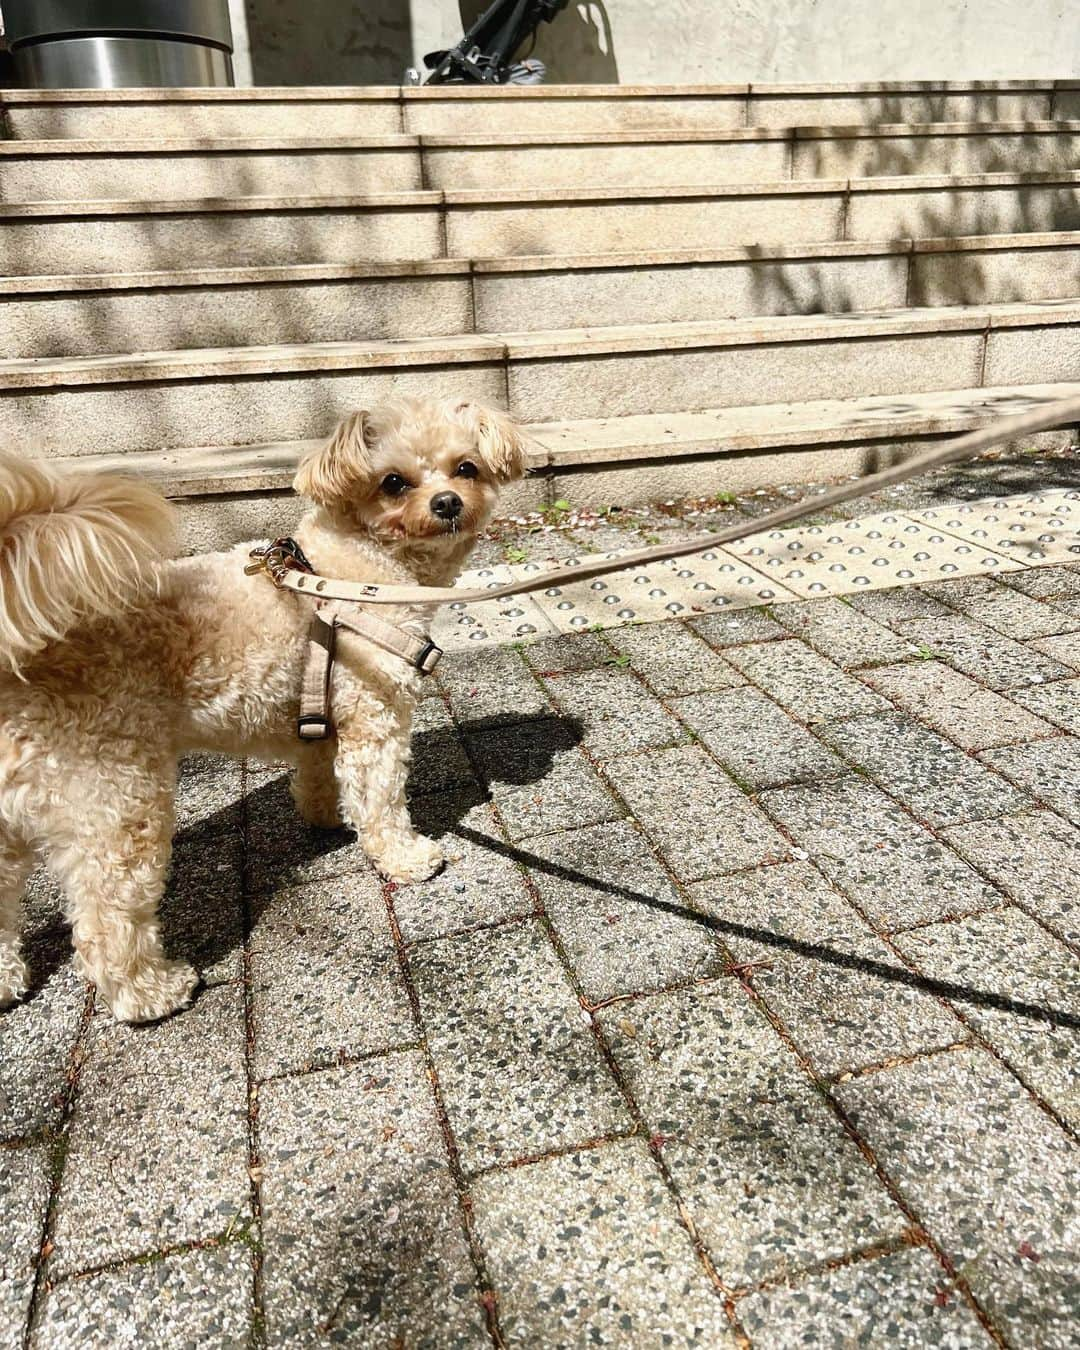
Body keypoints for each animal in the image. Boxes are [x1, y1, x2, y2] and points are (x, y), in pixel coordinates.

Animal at [0, 396, 526, 1020]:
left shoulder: (325, 713)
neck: (358, 574)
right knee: (106, 913)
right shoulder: (374, 715)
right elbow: (381, 801)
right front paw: (406, 857)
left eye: (466, 467)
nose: (447, 502)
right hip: (117, 797)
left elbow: (321, 775)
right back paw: (152, 991)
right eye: (393, 482)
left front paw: (327, 818)